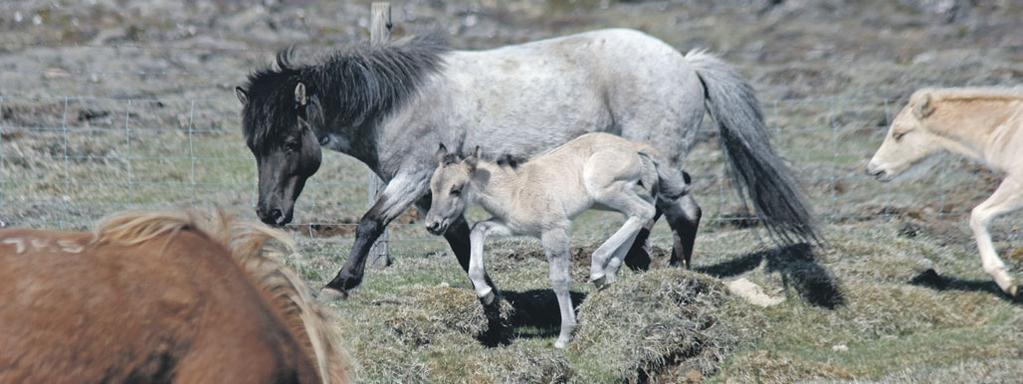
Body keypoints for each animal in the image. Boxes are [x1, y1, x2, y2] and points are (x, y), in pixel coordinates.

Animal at [235, 29, 818, 296]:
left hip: (656, 159)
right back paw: (650, 266)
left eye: (289, 142)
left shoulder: (414, 174)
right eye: (254, 146)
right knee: (670, 212)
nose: (270, 214)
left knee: (677, 211)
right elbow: (455, 236)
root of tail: (686, 63)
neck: (398, 102)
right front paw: (489, 293)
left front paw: (340, 282)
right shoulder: (432, 188)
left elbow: (369, 222)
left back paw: (656, 268)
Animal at [421, 133, 695, 348]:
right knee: (639, 212)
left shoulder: (555, 230)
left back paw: (599, 268)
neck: (515, 189)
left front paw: (565, 336)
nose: (433, 225)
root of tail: (632, 146)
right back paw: (610, 272)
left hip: (604, 190)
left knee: (643, 211)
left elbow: (559, 280)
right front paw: (485, 292)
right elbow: (478, 229)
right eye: (432, 189)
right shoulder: (512, 226)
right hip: (603, 199)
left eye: (456, 189)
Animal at [867, 88, 1023, 296]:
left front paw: (1006, 281)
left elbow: (978, 215)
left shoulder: (1017, 182)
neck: (1008, 129)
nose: (874, 169)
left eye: (899, 134)